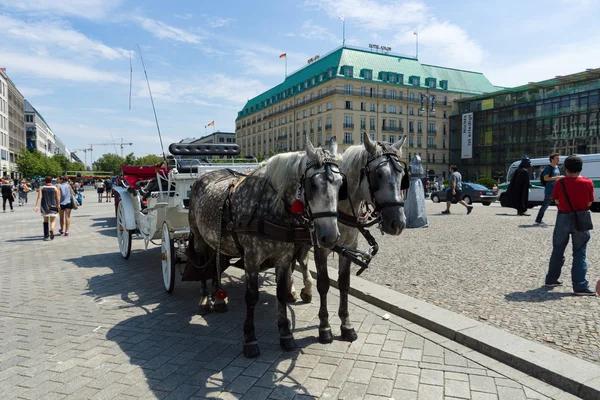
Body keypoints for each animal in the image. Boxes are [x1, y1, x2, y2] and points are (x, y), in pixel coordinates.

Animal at [190, 140, 344, 356]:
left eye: (340, 184)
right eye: (312, 185)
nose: (330, 237)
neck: (271, 207)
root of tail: (203, 176)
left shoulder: (283, 257)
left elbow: (281, 293)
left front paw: (285, 333)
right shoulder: (251, 259)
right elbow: (252, 297)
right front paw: (250, 339)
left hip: (215, 238)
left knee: (217, 262)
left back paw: (218, 297)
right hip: (198, 236)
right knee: (204, 265)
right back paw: (205, 299)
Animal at [290, 132, 408, 344]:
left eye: (402, 175)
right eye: (378, 175)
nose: (399, 223)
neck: (340, 208)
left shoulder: (348, 246)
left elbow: (344, 284)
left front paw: (346, 325)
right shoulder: (322, 246)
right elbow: (324, 284)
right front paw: (324, 327)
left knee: (301, 259)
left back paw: (306, 290)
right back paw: (292, 290)